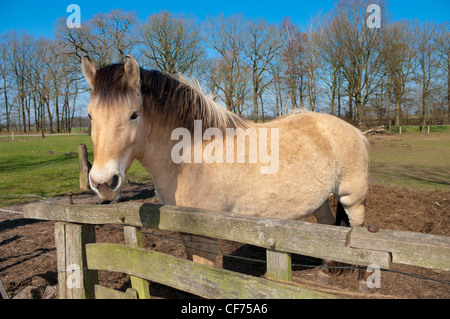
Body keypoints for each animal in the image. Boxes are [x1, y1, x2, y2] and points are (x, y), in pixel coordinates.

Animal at [82, 55, 370, 292]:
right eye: (90, 115)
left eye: (134, 114)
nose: (103, 182)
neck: (191, 158)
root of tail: (355, 131)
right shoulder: (185, 230)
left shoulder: (206, 234)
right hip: (319, 201)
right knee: (328, 229)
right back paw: (324, 273)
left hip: (352, 199)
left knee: (360, 233)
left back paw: (364, 281)